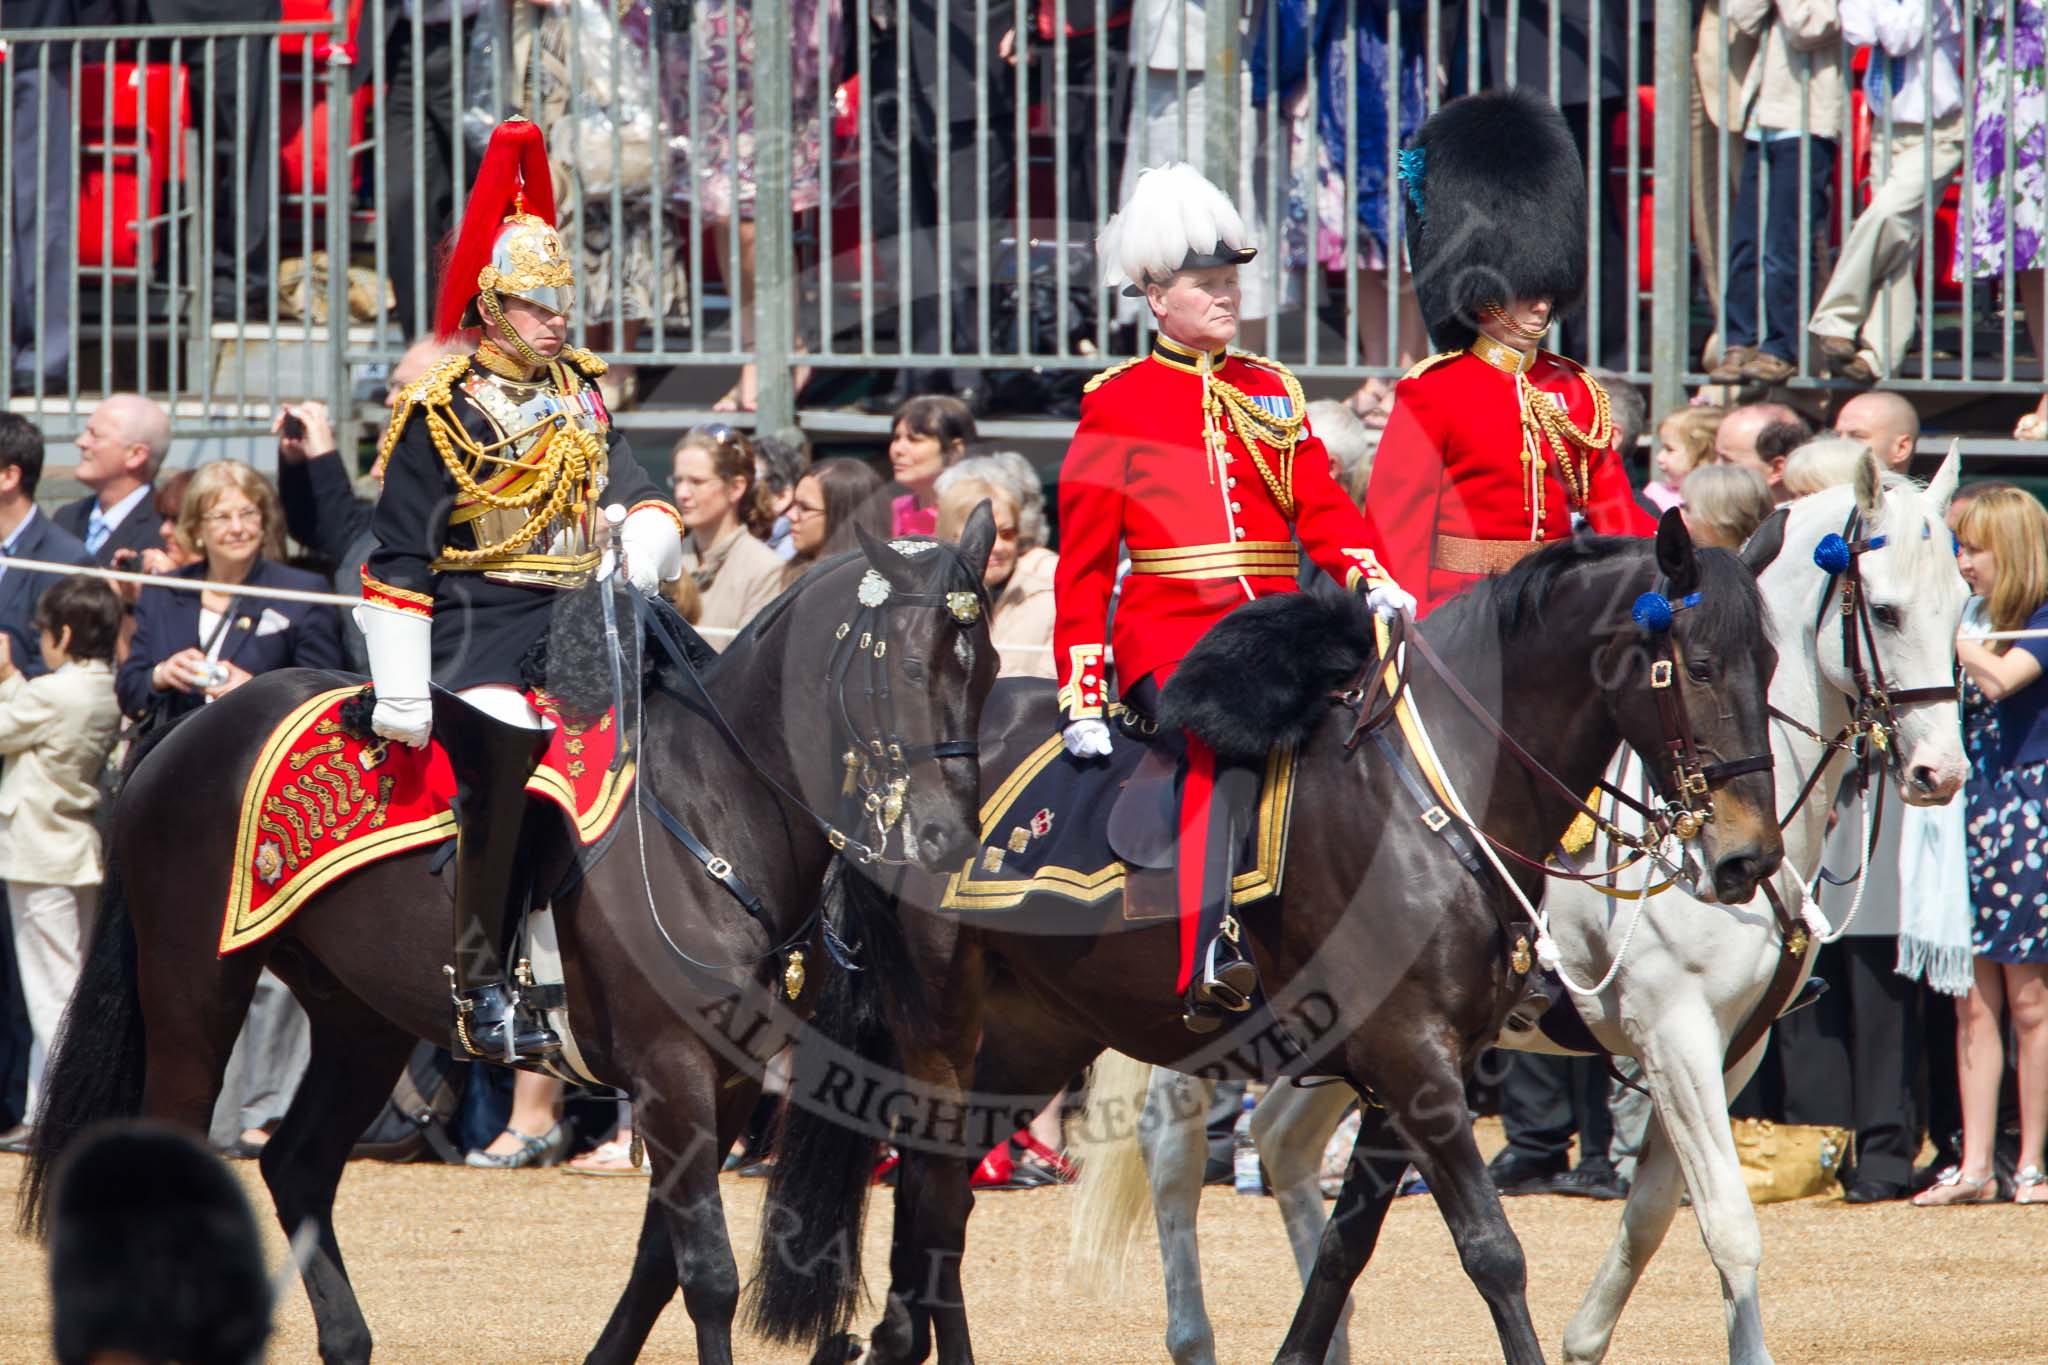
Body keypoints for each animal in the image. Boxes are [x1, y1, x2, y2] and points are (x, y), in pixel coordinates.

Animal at [22, 519, 999, 1365]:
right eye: (909, 665)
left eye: (987, 666)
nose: (949, 836)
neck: (717, 806)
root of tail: (187, 728)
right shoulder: (674, 1070)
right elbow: (709, 1274)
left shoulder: (723, 1081)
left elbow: (661, 1262)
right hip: (195, 991)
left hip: (360, 1017)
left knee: (297, 1164)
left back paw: (348, 1341)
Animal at [749, 523, 1777, 1365]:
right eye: (1693, 664)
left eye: (1768, 662)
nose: (1747, 856)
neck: (1434, 795)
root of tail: (890, 769)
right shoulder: (1414, 1060)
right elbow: (1493, 1251)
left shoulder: (1416, 1069)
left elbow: (1344, 1248)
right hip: (942, 1034)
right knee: (935, 1200)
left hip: (1027, 1038)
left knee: (939, 1203)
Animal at [1073, 456, 1966, 1365]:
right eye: (1885, 610)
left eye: (1964, 603)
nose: (1941, 770)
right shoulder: (1673, 1030)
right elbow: (1728, 1225)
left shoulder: (1731, 1048)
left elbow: (1654, 1215)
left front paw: (1582, 1339)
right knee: (1173, 1142)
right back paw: (1194, 1333)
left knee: (1284, 1138)